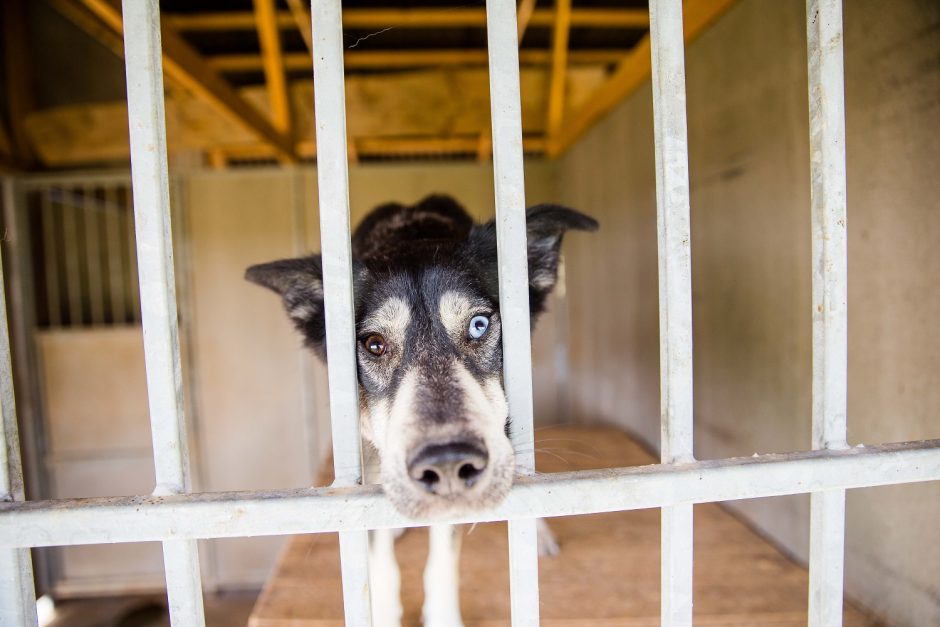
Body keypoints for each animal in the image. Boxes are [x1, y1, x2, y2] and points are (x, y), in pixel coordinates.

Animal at [246, 194, 600, 624]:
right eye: (374, 344)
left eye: (479, 325)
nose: (447, 463)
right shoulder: (368, 452)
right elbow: (378, 545)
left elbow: (443, 554)